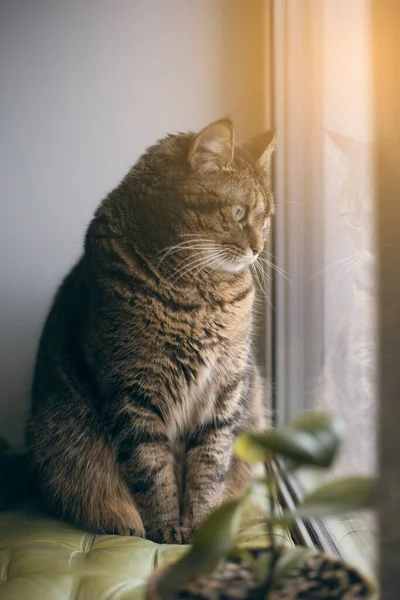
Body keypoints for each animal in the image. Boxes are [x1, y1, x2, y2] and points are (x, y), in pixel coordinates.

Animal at [25, 117, 276, 544]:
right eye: (239, 211)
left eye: (266, 218)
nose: (258, 248)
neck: (200, 295)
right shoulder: (132, 392)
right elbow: (152, 470)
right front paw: (168, 528)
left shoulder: (226, 389)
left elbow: (211, 463)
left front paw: (202, 524)